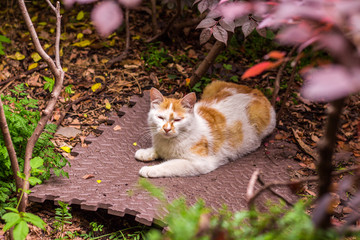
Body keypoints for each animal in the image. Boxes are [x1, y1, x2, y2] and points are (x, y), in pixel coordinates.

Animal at [135, 81, 276, 177]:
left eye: (177, 120)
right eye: (160, 117)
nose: (167, 129)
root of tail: (256, 91)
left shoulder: (200, 163)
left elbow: (170, 165)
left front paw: (150, 169)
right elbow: (158, 150)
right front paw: (145, 152)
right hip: (211, 86)